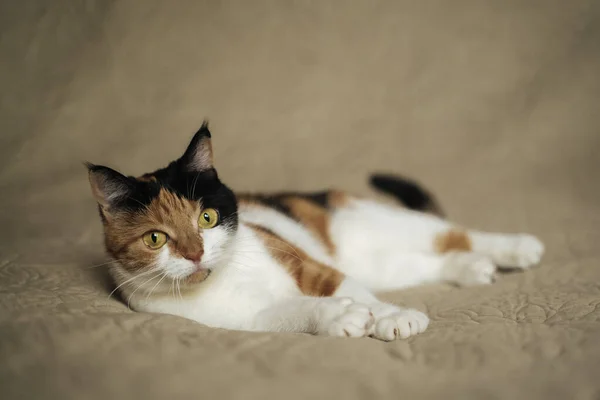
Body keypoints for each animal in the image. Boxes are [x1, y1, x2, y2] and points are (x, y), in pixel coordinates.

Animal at [88, 122, 544, 340]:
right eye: (155, 238)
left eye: (207, 218)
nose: (196, 253)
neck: (226, 278)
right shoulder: (248, 319)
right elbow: (292, 313)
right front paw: (339, 317)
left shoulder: (304, 263)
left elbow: (354, 292)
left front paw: (393, 318)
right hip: (383, 264)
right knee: (429, 260)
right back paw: (471, 268)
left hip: (378, 223)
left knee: (453, 233)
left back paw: (518, 248)